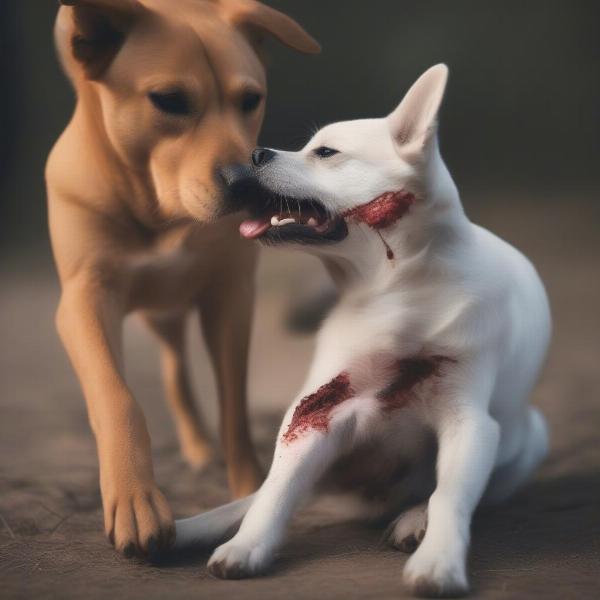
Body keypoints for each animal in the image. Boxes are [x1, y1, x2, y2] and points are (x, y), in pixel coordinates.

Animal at [45, 0, 318, 556]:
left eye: (250, 100)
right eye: (168, 100)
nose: (247, 183)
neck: (158, 212)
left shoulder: (230, 294)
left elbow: (233, 405)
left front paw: (250, 488)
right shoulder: (85, 301)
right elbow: (117, 398)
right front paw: (134, 498)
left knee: (176, 365)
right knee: (171, 368)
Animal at [173, 63, 548, 596]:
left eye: (326, 152)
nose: (255, 153)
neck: (391, 292)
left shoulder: (471, 422)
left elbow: (451, 496)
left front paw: (439, 559)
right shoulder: (314, 413)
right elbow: (276, 493)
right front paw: (247, 546)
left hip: (528, 437)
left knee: (452, 490)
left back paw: (414, 520)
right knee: (266, 492)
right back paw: (188, 528)